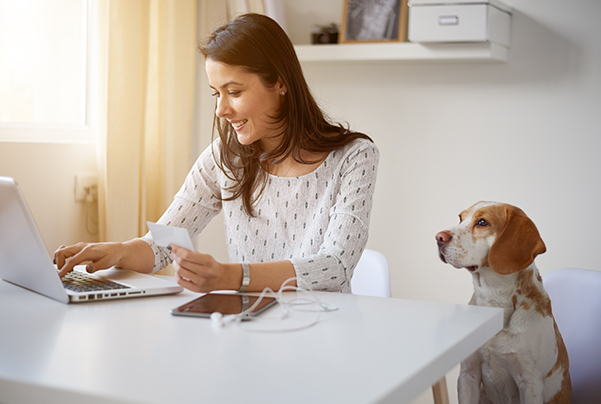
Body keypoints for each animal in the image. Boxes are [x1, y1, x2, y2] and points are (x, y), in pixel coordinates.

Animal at [434, 202, 568, 404]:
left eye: (482, 222)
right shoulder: (468, 373)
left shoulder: (530, 383)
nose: (438, 237)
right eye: (460, 218)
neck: (494, 301)